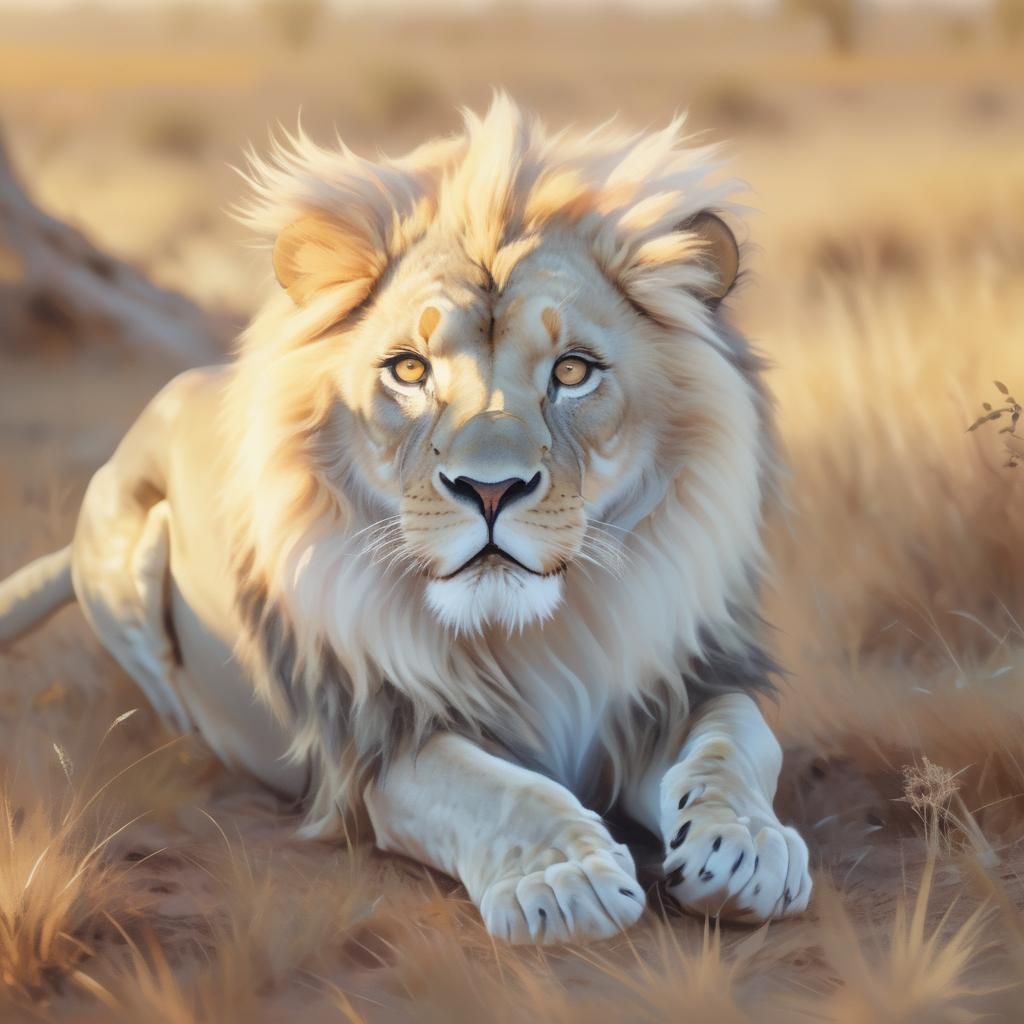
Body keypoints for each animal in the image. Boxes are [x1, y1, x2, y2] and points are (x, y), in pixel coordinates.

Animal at [0, 96, 811, 945]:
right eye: (410, 370)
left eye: (573, 371)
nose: (491, 489)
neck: (543, 636)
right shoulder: (373, 742)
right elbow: (495, 790)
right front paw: (563, 880)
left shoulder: (678, 680)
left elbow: (737, 742)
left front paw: (747, 848)